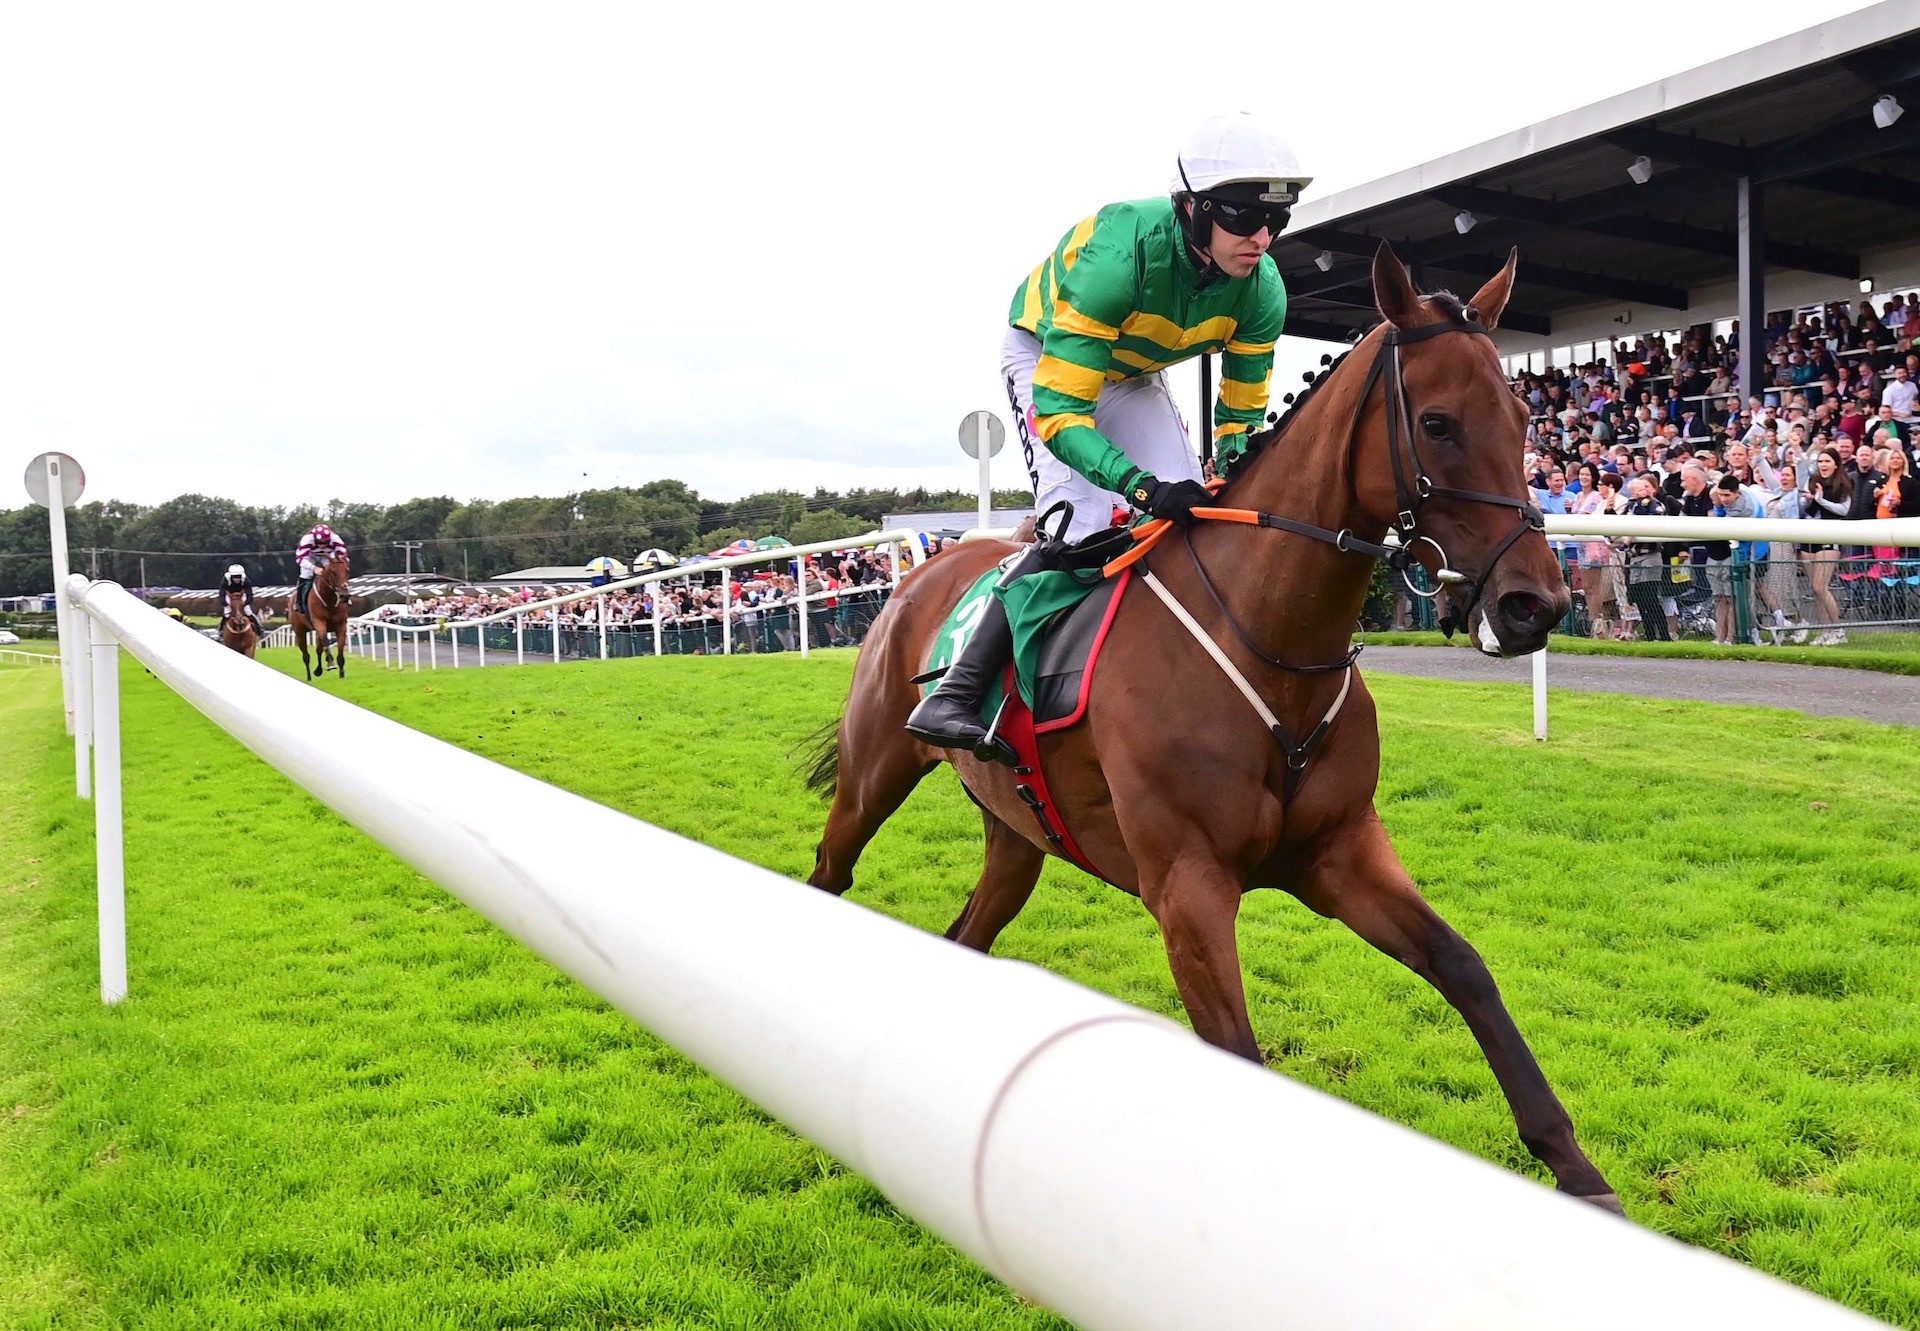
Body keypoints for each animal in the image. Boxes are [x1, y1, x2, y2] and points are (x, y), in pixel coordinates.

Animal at [802, 243, 1628, 1206]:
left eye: (1526, 414)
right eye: (1437, 423)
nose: (1536, 603)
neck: (1268, 637)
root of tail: (928, 568)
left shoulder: (1339, 848)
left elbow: (1464, 965)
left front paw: (1576, 1167)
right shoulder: (1187, 885)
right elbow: (1237, 1050)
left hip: (1017, 832)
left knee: (968, 931)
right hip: (875, 772)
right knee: (828, 872)